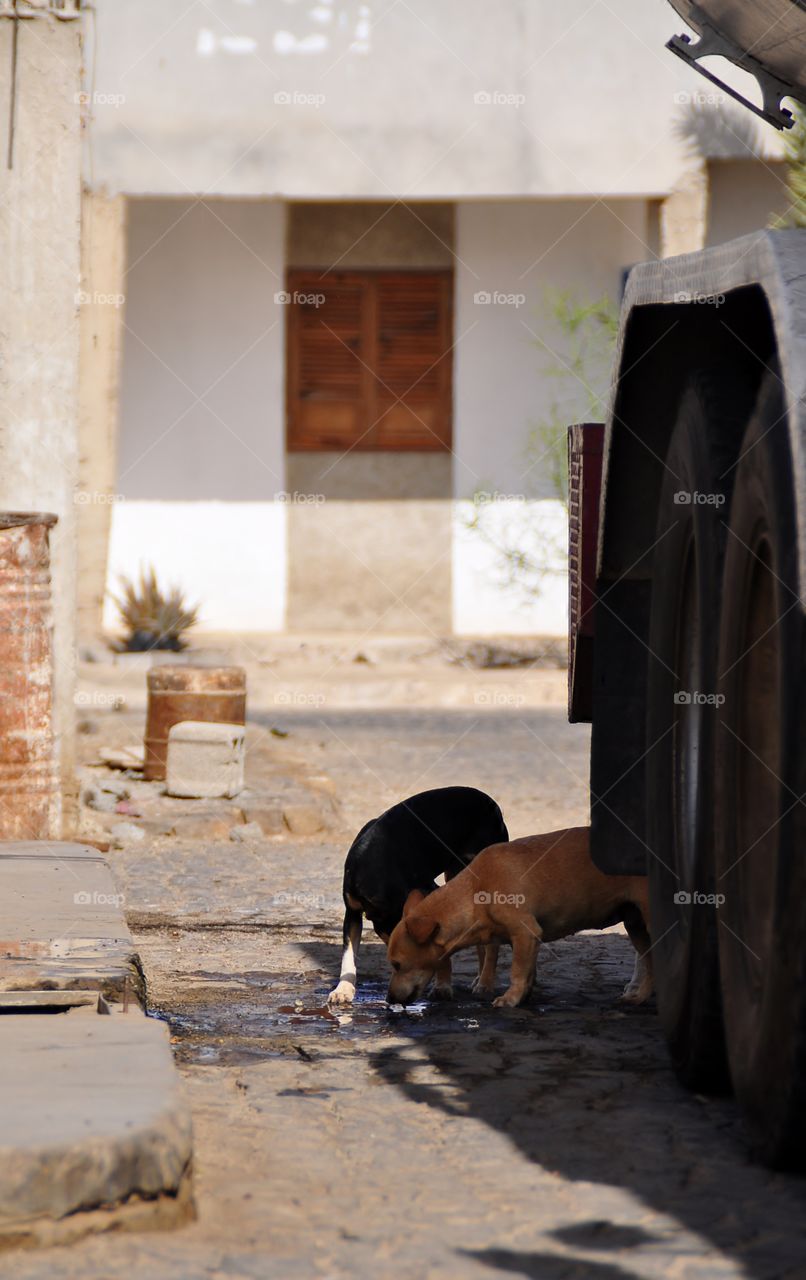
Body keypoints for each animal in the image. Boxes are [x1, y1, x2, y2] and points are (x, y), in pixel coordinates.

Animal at [327, 783, 506, 1003]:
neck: (374, 868)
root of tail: (491, 803)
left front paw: (442, 986)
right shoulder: (352, 912)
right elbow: (348, 954)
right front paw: (343, 989)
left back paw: (485, 983)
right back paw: (479, 978)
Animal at [386, 829, 655, 1008]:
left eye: (397, 965)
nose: (388, 999)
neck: (476, 891)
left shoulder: (526, 932)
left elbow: (517, 970)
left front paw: (510, 999)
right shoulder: (529, 940)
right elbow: (528, 971)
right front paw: (524, 995)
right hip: (634, 924)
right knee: (646, 959)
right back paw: (639, 996)